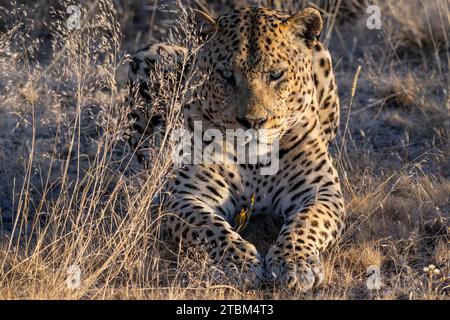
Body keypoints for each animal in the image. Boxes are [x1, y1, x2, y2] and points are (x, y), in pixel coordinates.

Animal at [125, 6, 344, 292]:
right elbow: (210, 227)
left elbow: (306, 222)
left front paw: (294, 263)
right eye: (227, 75)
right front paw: (240, 265)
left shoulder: (321, 192)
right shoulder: (184, 196)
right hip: (152, 55)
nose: (253, 121)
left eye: (276, 74)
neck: (255, 160)